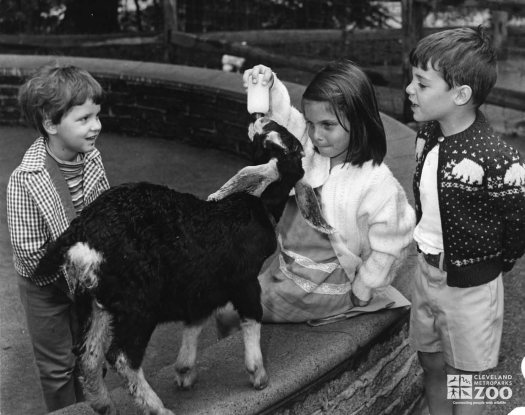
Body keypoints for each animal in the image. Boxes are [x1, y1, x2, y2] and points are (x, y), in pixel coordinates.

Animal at [35, 117, 332, 415]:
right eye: (272, 142)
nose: (260, 119)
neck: (254, 205)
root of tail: (84, 236)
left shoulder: (201, 286)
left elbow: (195, 321)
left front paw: (184, 371)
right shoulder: (244, 280)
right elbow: (252, 317)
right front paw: (258, 374)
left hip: (92, 301)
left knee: (88, 354)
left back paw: (103, 403)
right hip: (138, 305)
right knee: (121, 356)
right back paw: (157, 408)